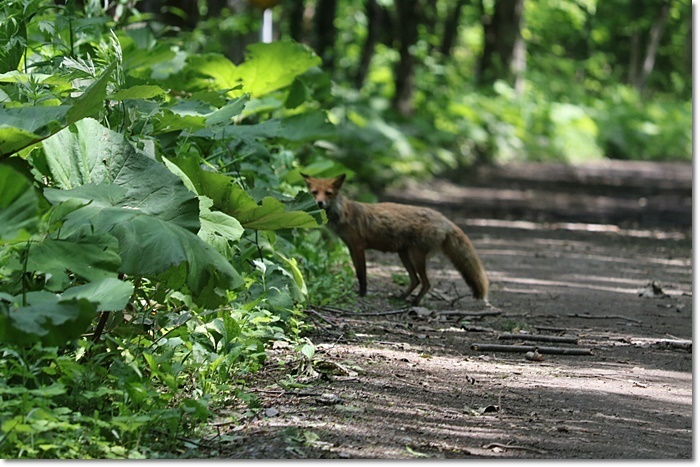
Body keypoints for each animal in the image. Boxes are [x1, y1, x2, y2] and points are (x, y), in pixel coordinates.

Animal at [302, 173, 492, 308]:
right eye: (314, 193)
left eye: (328, 193)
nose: (319, 203)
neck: (344, 213)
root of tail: (443, 219)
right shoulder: (350, 247)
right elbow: (358, 272)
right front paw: (360, 293)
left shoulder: (358, 247)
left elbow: (363, 274)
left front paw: (362, 294)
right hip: (404, 255)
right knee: (416, 280)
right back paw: (401, 298)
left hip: (416, 256)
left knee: (426, 283)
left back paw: (414, 303)